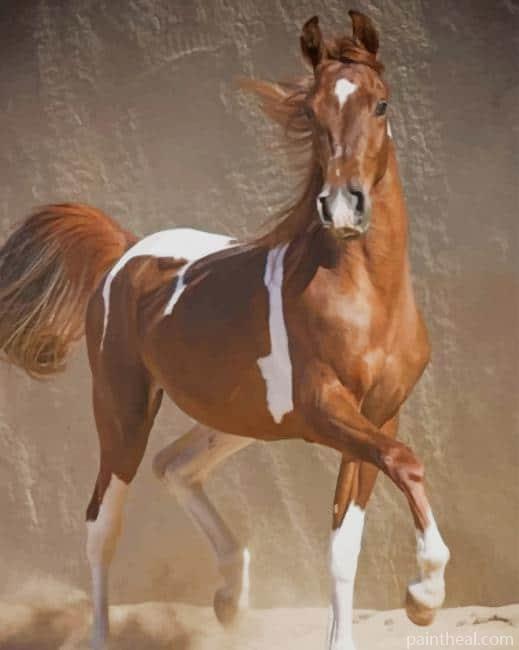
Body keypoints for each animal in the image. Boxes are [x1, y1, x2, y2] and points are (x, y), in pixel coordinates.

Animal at [0, 10, 449, 650]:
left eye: (381, 104)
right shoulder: (326, 410)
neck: (367, 297)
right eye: (312, 111)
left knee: (175, 466)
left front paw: (410, 602)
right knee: (101, 525)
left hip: (237, 418)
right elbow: (406, 463)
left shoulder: (379, 415)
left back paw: (230, 597)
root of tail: (125, 252)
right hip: (123, 411)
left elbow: (346, 542)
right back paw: (110, 632)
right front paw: (425, 596)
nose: (342, 206)